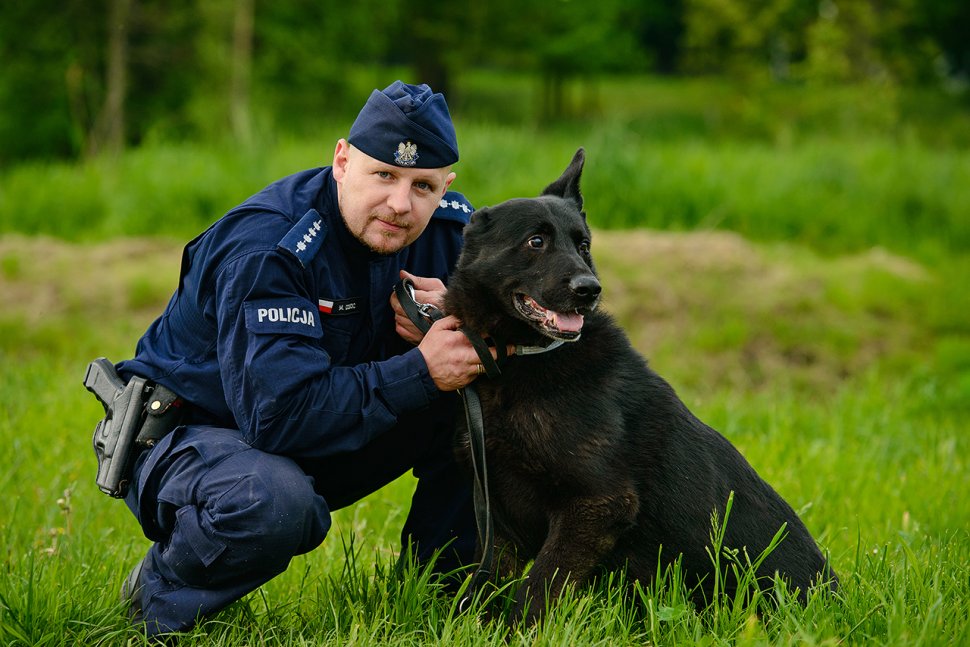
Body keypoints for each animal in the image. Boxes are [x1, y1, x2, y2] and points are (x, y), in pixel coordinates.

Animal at [442, 149, 836, 624]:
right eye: (536, 242)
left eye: (583, 246)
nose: (589, 290)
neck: (525, 356)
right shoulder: (501, 517)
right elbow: (486, 586)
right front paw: (473, 627)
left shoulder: (596, 504)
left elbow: (538, 587)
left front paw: (516, 630)